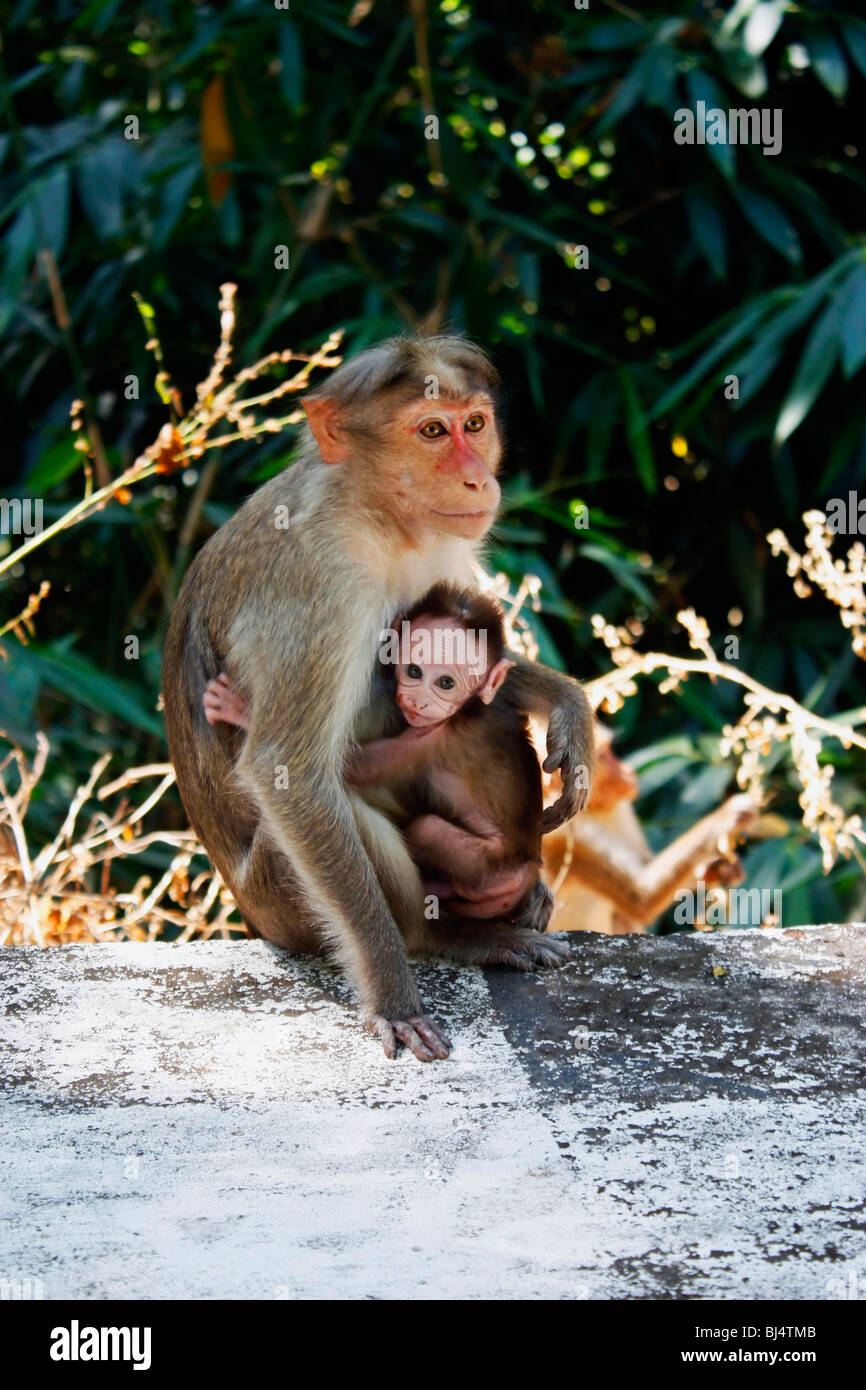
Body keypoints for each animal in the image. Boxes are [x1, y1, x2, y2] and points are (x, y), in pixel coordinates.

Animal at [162, 330, 594, 1056]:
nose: (478, 477)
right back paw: (445, 936)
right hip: (282, 902)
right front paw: (392, 993)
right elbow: (286, 771)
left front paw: (570, 709)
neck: (374, 514)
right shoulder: (319, 586)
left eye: (474, 424)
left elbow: (476, 644)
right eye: (430, 431)